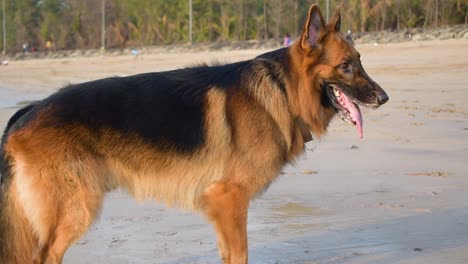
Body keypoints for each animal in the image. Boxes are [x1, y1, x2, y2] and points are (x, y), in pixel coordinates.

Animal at [0, 4, 388, 264]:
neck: (281, 90)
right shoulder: (229, 201)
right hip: (75, 210)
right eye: (346, 66)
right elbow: (240, 256)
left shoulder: (224, 210)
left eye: (361, 61)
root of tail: (28, 110)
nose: (384, 98)